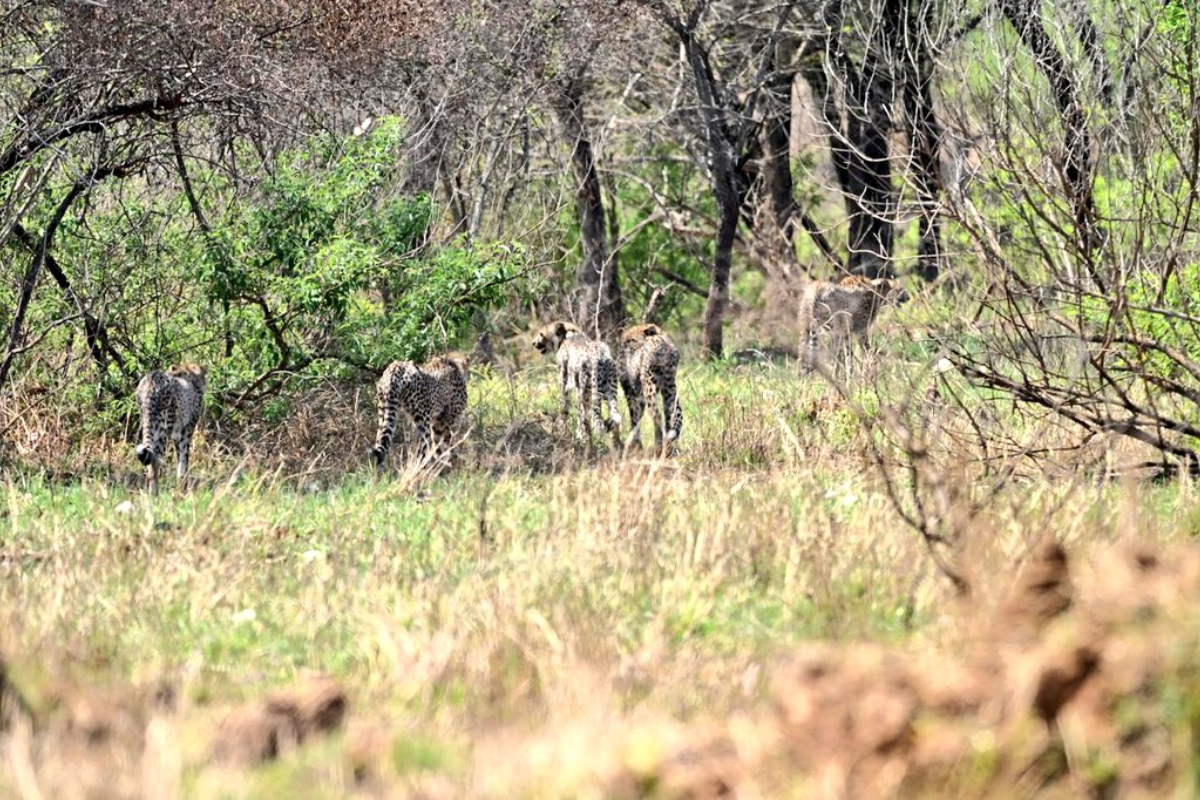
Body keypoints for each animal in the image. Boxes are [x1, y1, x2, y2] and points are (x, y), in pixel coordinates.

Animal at [134, 363, 207, 493]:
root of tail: (154, 376)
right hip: (162, 430)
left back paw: (151, 493)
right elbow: (184, 458)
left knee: (150, 460)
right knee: (155, 460)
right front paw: (183, 488)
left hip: (148, 423)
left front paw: (180, 486)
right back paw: (155, 494)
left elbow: (180, 459)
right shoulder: (186, 431)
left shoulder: (177, 434)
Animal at [532, 320, 622, 457]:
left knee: (587, 421)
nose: (534, 343)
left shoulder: (564, 385)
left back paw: (586, 448)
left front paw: (563, 432)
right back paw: (618, 447)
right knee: (614, 418)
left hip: (584, 394)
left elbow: (564, 410)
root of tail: (600, 355)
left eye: (541, 334)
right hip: (609, 393)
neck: (568, 335)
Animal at [618, 323, 683, 456]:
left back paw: (659, 446)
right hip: (669, 388)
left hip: (649, 387)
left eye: (631, 340)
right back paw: (669, 447)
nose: (623, 346)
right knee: (673, 416)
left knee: (656, 415)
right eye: (625, 340)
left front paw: (635, 445)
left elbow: (635, 417)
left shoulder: (631, 390)